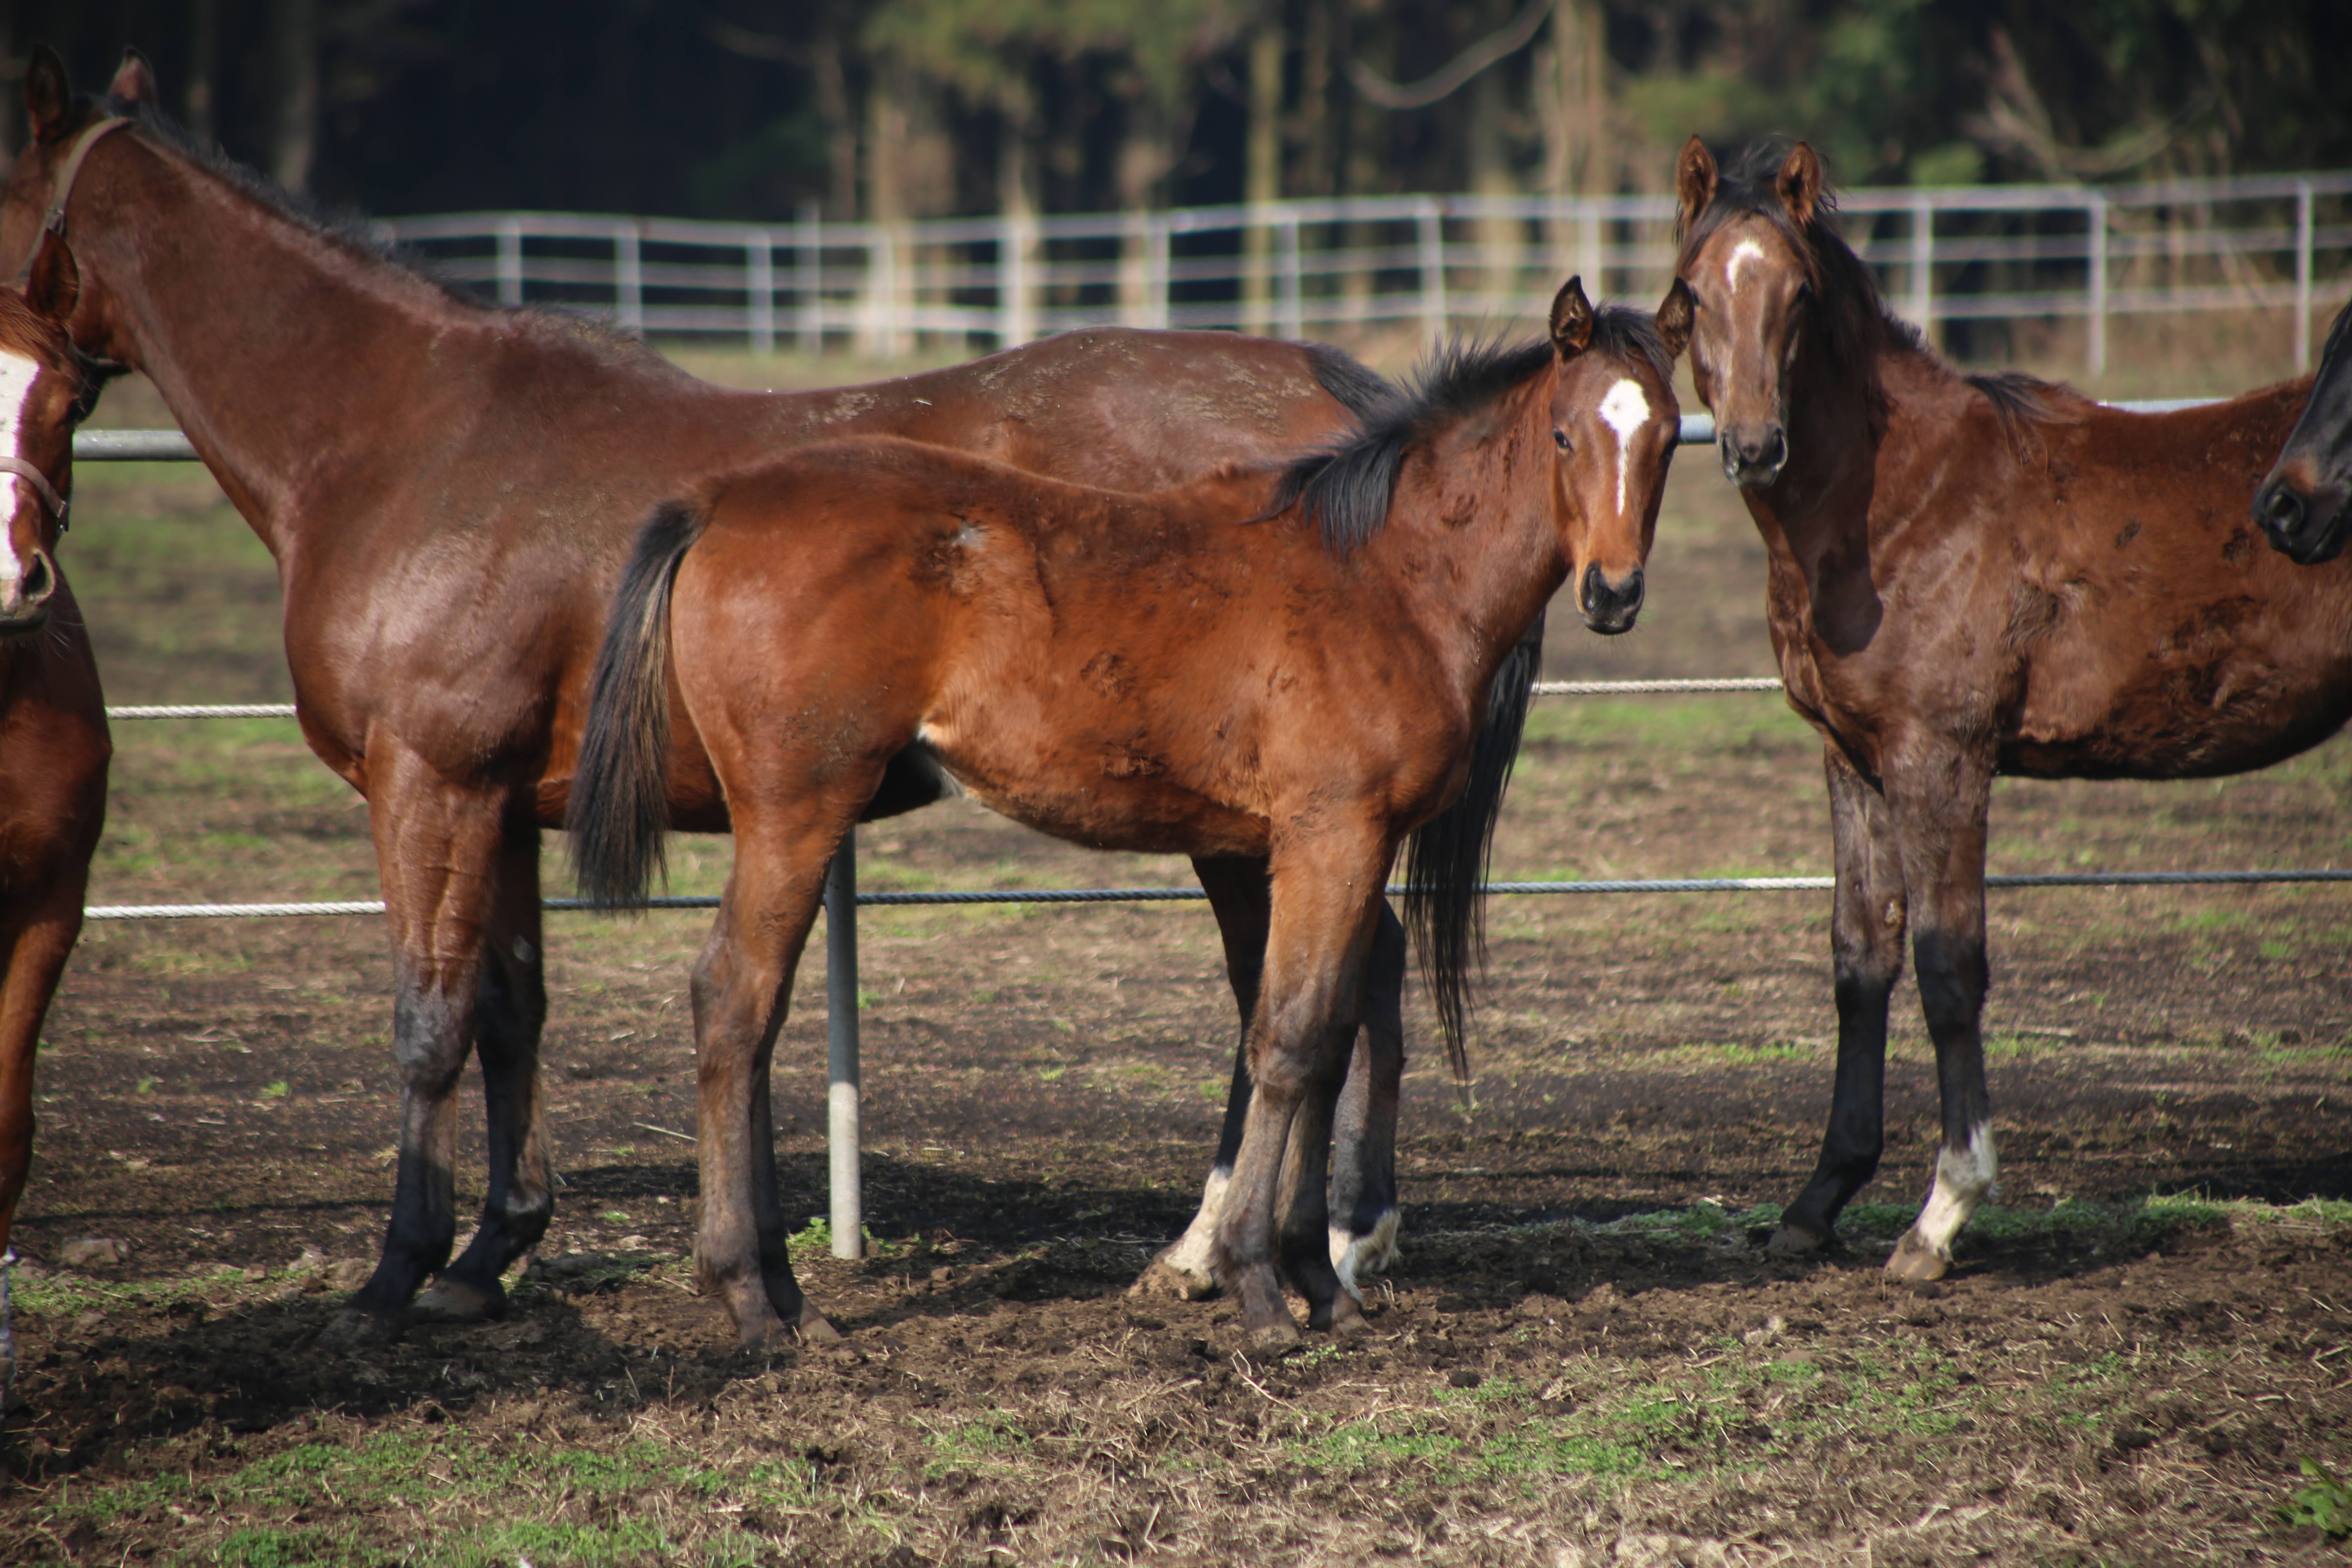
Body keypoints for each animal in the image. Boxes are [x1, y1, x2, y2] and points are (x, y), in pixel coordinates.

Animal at [4, 43, 1524, 1335]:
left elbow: (429, 1022)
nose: (23, 562)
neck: (409, 439)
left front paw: (396, 1275)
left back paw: (1310, 1243)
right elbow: (508, 1009)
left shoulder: (428, 781)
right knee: (1330, 979)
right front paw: (492, 1253)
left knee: (1321, 987)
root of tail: (1327, 389)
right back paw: (1261, 1249)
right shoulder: (502, 801)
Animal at [569, 278, 1693, 1354]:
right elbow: (1289, 1038)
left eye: (1665, 435)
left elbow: (1328, 1036)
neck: (1386, 574)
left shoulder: (1343, 844)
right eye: (1564, 434)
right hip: (792, 810)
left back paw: (793, 1301)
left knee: (752, 1016)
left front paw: (1319, 1284)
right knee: (734, 1002)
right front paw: (1259, 1290)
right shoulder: (1328, 834)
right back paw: (752, 1304)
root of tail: (718, 500)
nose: (1614, 593)